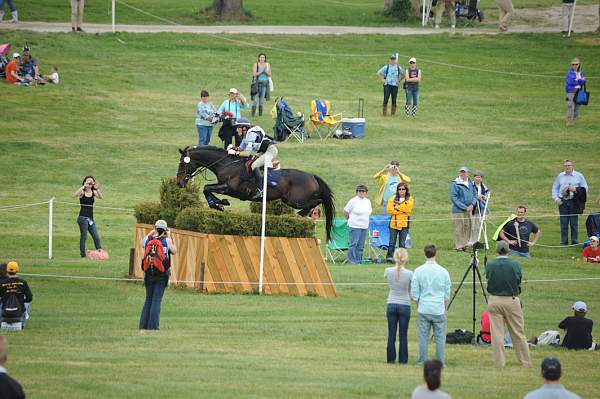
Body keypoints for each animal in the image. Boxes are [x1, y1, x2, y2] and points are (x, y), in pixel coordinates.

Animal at [176, 147, 336, 241]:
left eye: (183, 163)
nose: (179, 183)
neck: (227, 164)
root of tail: (312, 176)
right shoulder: (225, 187)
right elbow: (207, 189)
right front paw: (220, 204)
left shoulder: (230, 189)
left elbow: (207, 187)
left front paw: (218, 204)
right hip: (290, 200)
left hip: (295, 200)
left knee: (317, 201)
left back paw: (299, 215)